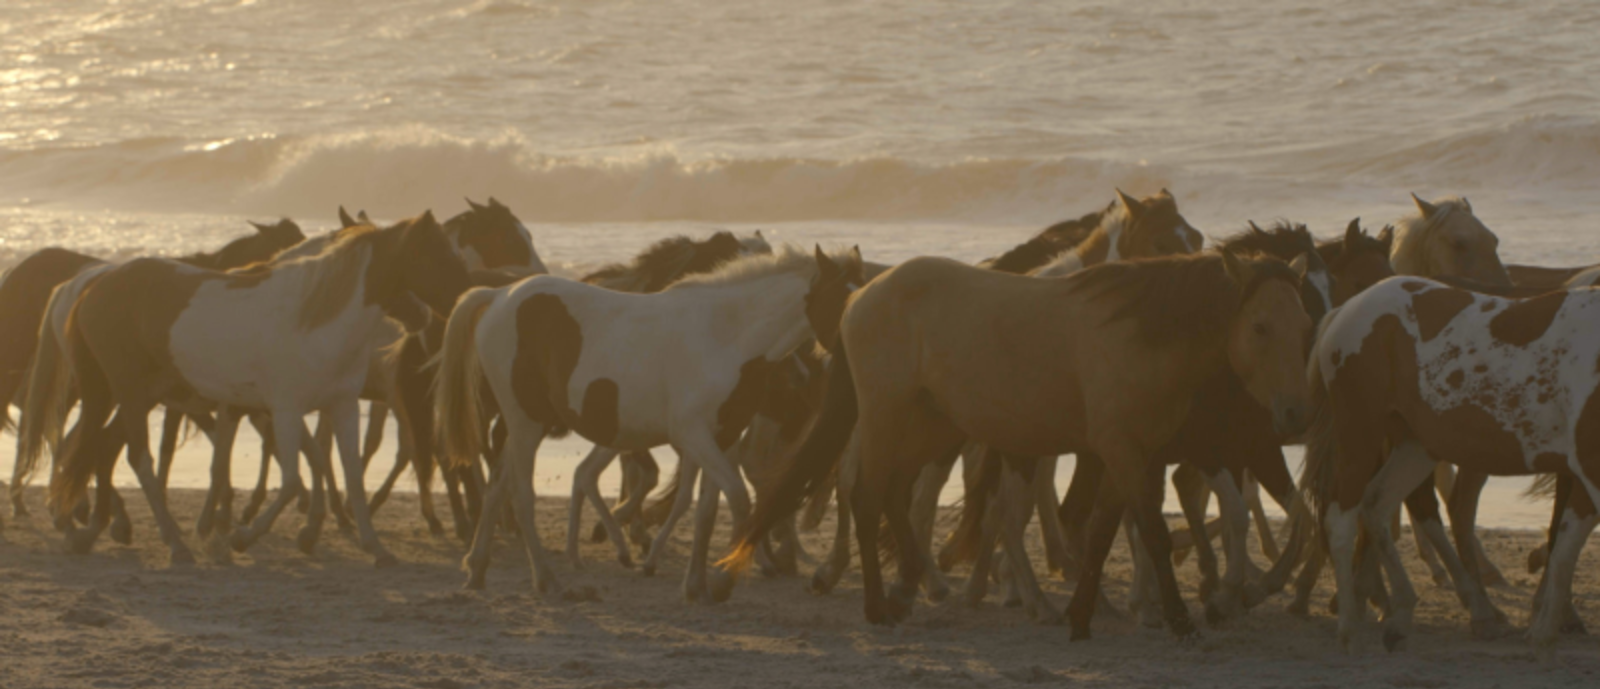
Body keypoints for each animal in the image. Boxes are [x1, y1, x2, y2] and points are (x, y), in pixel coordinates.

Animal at [29, 213, 468, 566]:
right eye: (438, 255)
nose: (438, 311)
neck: (316, 317)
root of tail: (93, 286)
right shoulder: (284, 409)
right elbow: (289, 479)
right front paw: (239, 537)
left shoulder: (339, 406)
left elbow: (348, 475)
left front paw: (375, 547)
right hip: (126, 393)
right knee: (134, 458)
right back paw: (172, 544)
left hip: (136, 395)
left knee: (100, 448)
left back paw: (91, 531)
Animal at [434, 245, 863, 601]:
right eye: (843, 299)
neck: (726, 336)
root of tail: (499, 296)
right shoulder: (694, 435)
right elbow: (738, 499)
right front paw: (723, 580)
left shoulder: (720, 438)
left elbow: (706, 509)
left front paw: (696, 584)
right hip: (526, 423)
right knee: (522, 495)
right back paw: (547, 580)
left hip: (523, 425)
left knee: (497, 486)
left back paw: (477, 569)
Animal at [725, 250, 1311, 639]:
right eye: (1260, 326)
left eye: (1302, 325)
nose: (1292, 415)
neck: (1139, 334)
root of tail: (862, 296)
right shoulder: (1123, 451)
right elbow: (1152, 534)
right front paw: (1179, 616)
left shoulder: (1133, 455)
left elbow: (1104, 534)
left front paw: (1080, 616)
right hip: (887, 418)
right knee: (868, 500)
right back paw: (877, 607)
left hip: (932, 427)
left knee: (895, 497)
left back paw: (909, 587)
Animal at [1301, 275, 1600, 654]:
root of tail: (1345, 310)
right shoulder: (1590, 468)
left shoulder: (1584, 475)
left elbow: (1564, 547)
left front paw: (1543, 630)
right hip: (1361, 435)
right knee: (1342, 521)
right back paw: (1350, 628)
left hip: (1415, 446)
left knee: (1378, 505)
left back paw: (1402, 614)